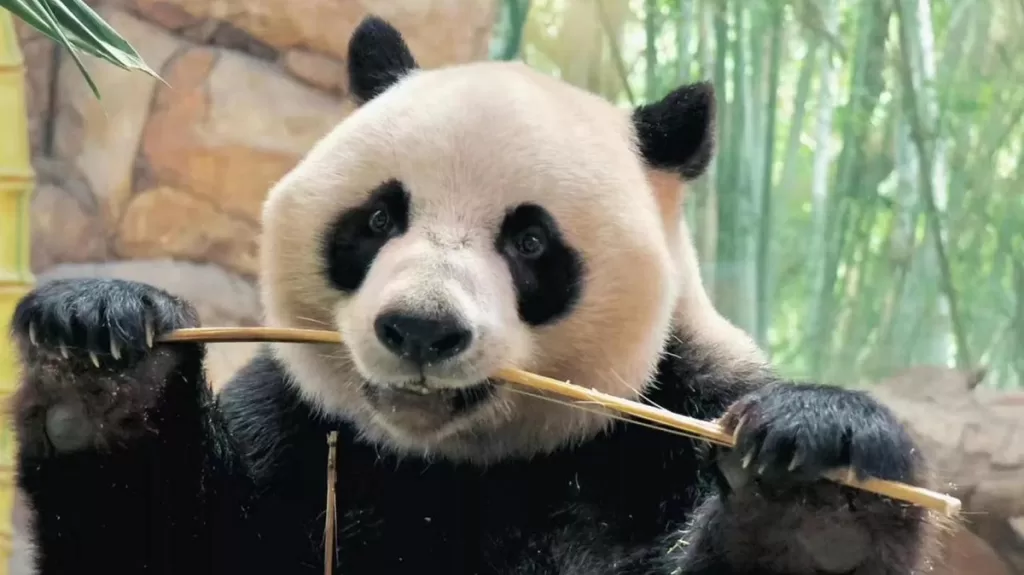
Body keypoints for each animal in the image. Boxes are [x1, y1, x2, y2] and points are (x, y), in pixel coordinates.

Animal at [9, 15, 946, 575]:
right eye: (378, 216)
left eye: (529, 241)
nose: (421, 330)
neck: (458, 462)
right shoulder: (298, 429)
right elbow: (160, 539)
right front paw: (101, 354)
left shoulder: (671, 416)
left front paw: (818, 494)